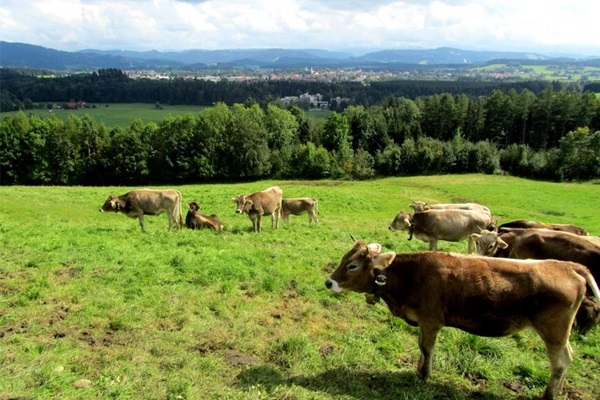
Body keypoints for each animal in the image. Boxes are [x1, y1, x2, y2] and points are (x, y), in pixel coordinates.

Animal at [326, 239, 600, 398]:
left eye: (352, 265)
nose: (329, 282)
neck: (409, 275)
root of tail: (569, 266)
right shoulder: (425, 321)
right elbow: (422, 347)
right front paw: (418, 370)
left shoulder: (431, 320)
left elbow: (426, 348)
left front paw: (423, 375)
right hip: (561, 332)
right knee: (568, 357)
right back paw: (560, 389)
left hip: (554, 330)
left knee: (560, 361)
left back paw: (549, 394)